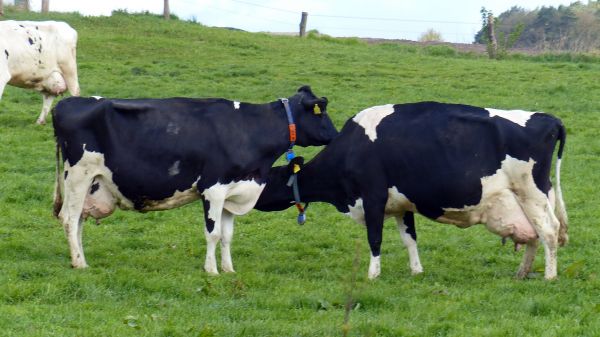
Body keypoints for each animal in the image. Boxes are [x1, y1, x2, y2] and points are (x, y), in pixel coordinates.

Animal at [52, 85, 340, 272]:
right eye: (322, 111)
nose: (337, 136)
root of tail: (67, 103)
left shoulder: (233, 191)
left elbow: (227, 236)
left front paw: (229, 270)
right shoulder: (213, 188)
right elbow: (213, 233)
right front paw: (211, 270)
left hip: (91, 182)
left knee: (79, 221)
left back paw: (78, 258)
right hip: (77, 175)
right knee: (69, 218)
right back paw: (80, 263)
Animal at [256, 101, 568, 280]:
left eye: (266, 179)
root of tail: (549, 118)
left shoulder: (373, 197)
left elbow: (375, 238)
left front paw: (372, 275)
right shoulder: (400, 204)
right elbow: (410, 239)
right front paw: (417, 271)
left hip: (531, 191)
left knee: (549, 230)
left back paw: (549, 276)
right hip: (531, 197)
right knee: (535, 234)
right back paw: (522, 272)